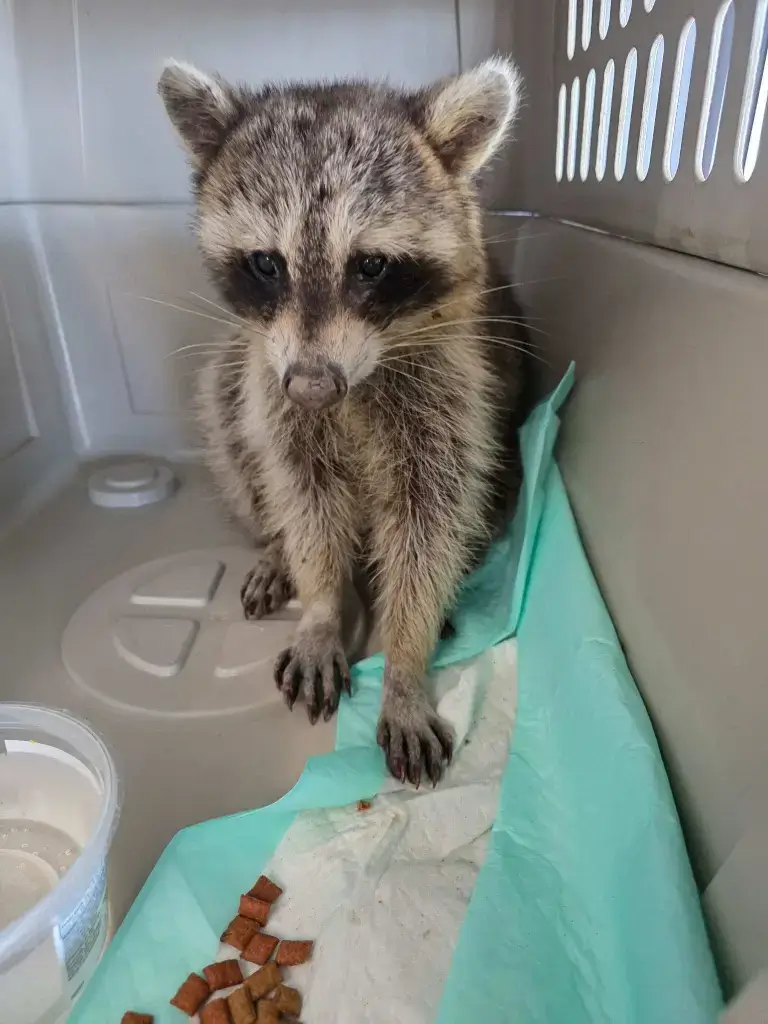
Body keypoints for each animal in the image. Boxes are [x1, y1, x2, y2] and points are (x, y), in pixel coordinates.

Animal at [159, 57, 529, 786]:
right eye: (266, 263)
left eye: (372, 265)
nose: (312, 387)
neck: (352, 388)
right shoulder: (276, 391)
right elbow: (304, 495)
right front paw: (322, 606)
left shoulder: (450, 391)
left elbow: (431, 519)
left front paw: (406, 660)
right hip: (240, 374)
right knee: (226, 409)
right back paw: (274, 548)